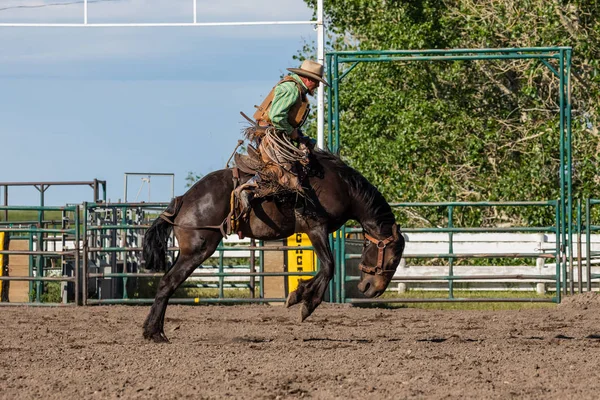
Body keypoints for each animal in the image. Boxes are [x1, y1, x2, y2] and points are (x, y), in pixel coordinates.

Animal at [142, 148, 404, 342]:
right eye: (392, 259)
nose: (372, 289)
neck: (343, 186)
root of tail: (183, 199)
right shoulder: (315, 227)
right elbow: (329, 266)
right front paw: (303, 301)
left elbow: (326, 268)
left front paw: (300, 295)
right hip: (198, 249)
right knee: (168, 282)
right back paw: (155, 333)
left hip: (189, 251)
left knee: (167, 281)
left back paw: (152, 330)